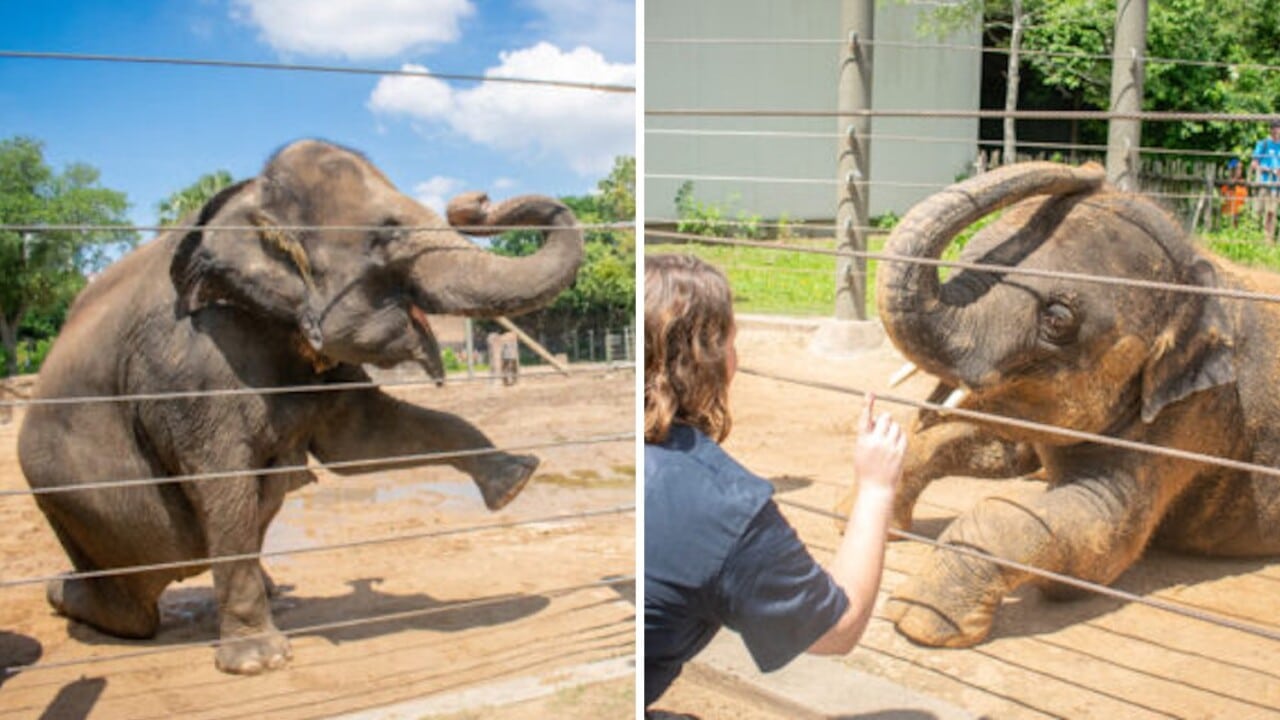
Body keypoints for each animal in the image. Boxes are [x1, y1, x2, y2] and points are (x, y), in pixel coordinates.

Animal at [16, 140, 586, 671]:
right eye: (386, 234)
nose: (475, 202)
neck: (251, 202)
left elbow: (363, 439)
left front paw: (515, 480)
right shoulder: (190, 360)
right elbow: (225, 476)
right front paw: (259, 662)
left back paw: (272, 590)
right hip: (86, 514)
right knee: (135, 606)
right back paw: (59, 591)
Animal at [870, 161, 1280, 645]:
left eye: (1057, 319)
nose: (1092, 170)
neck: (1198, 277)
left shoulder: (1194, 415)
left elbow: (1101, 535)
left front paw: (916, 619)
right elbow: (996, 446)